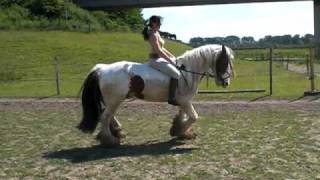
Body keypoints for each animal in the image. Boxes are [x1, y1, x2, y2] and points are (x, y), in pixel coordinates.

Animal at [78, 44, 235, 147]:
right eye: (224, 61)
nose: (226, 82)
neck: (187, 71)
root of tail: (102, 69)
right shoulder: (185, 101)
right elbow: (193, 117)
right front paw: (180, 131)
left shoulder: (184, 101)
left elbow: (184, 116)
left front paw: (181, 132)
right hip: (114, 100)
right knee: (105, 117)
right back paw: (110, 140)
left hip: (114, 100)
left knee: (109, 116)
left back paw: (117, 132)